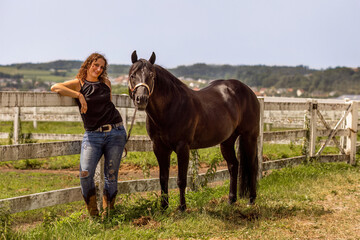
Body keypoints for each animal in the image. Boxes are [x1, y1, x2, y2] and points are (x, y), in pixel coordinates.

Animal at [128, 50, 260, 210]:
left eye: (152, 76)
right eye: (132, 75)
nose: (141, 99)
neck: (171, 108)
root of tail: (250, 92)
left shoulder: (182, 147)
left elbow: (181, 180)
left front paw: (182, 208)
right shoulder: (159, 147)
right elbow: (163, 178)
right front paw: (164, 207)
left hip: (249, 137)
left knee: (252, 166)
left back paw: (251, 200)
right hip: (227, 141)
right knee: (233, 165)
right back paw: (231, 200)